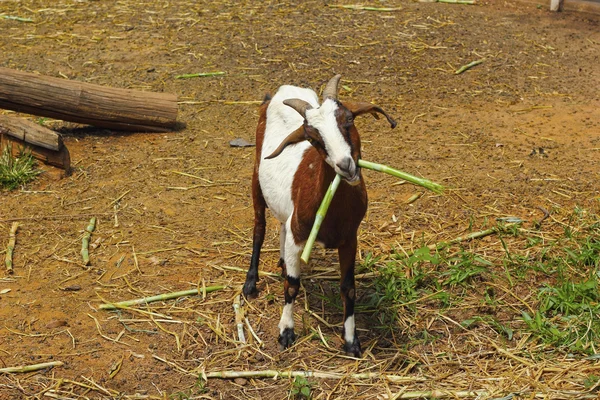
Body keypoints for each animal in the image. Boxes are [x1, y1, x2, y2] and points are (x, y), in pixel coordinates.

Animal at [241, 75, 396, 356]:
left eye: (349, 119)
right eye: (313, 138)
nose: (346, 165)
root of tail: (283, 90)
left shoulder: (350, 238)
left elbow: (349, 288)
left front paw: (351, 341)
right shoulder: (299, 236)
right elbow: (292, 284)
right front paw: (286, 331)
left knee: (281, 224)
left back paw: (281, 261)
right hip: (256, 176)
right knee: (259, 228)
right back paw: (250, 283)